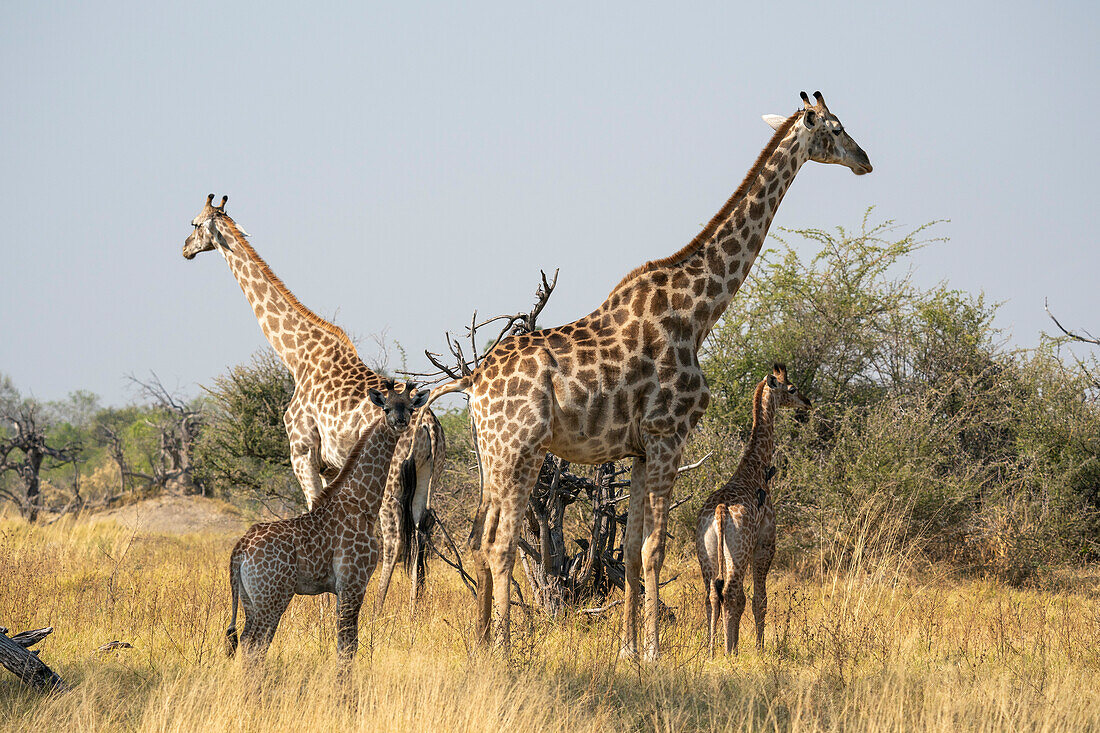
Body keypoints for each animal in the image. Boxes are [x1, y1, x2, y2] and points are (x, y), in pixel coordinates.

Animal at [182, 197, 444, 607]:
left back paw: (380, 608)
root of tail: (429, 424)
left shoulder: (302, 452)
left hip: (393, 477)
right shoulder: (331, 465)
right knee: (421, 529)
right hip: (428, 473)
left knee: (394, 537)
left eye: (194, 223)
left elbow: (311, 515)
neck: (297, 356)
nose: (185, 249)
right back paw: (415, 609)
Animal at [225, 376, 426, 660]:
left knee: (246, 640)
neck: (362, 503)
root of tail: (239, 551)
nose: (400, 422)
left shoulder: (343, 587)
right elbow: (348, 644)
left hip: (249, 598)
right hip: (272, 597)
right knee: (256, 643)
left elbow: (345, 642)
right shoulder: (353, 580)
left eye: (409, 407)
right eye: (386, 408)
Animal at [695, 363, 809, 651]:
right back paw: (728, 651)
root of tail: (719, 512)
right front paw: (759, 647)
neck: (756, 469)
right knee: (731, 593)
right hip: (739, 552)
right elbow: (760, 599)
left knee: (712, 595)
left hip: (705, 552)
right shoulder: (765, 544)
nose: (807, 402)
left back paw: (712, 649)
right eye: (792, 388)